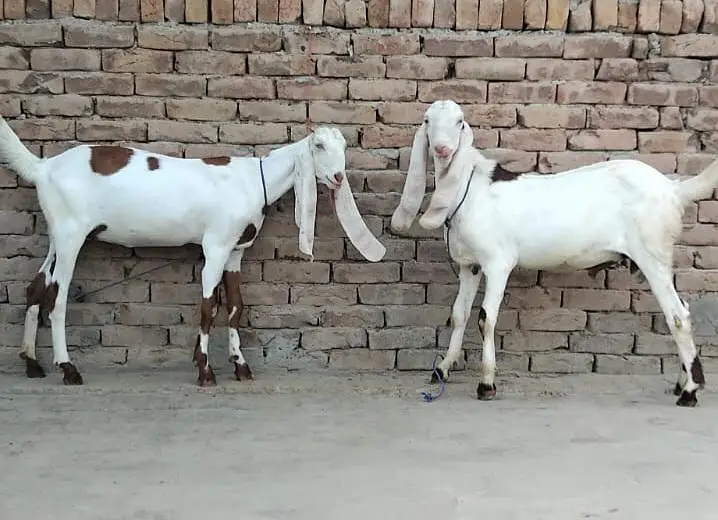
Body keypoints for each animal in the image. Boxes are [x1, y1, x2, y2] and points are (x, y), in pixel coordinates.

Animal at [0, 117, 385, 386]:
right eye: (318, 145)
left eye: (344, 146)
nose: (338, 177)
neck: (252, 179)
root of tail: (43, 168)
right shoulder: (215, 245)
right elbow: (208, 307)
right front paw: (205, 371)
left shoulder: (235, 250)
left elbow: (235, 307)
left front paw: (240, 366)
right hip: (71, 234)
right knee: (58, 297)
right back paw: (68, 369)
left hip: (56, 234)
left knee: (36, 288)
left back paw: (32, 363)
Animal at [391, 99, 718, 407]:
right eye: (427, 121)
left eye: (460, 122)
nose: (443, 149)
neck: (469, 189)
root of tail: (673, 189)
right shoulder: (470, 265)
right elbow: (459, 314)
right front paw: (443, 369)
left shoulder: (498, 263)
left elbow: (487, 318)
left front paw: (486, 384)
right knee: (683, 309)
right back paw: (682, 382)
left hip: (651, 253)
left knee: (677, 316)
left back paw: (689, 391)